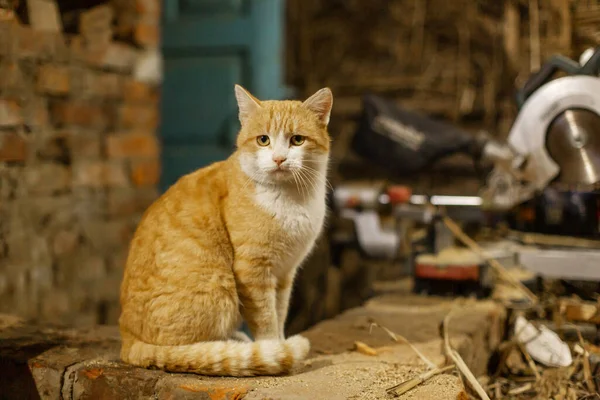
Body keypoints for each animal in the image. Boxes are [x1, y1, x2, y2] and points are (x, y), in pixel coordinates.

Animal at [117, 86, 332, 376]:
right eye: (263, 140)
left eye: (297, 140)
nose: (279, 159)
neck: (290, 199)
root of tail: (126, 338)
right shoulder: (253, 269)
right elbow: (266, 318)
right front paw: (273, 349)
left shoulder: (285, 273)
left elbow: (279, 312)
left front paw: (278, 342)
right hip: (219, 289)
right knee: (187, 350)